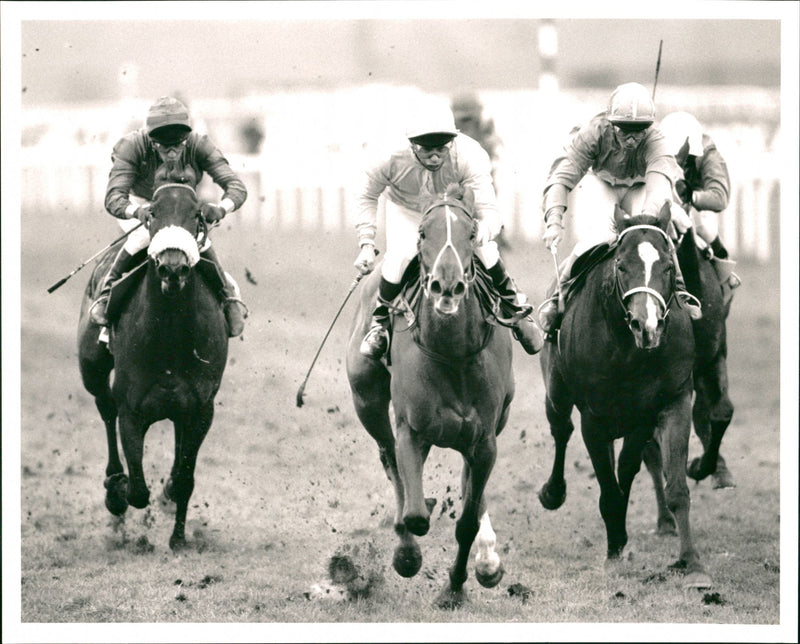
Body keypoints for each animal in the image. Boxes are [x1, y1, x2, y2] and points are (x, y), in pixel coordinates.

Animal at [77, 181, 228, 548]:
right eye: (154, 214)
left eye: (197, 214)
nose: (173, 268)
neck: (170, 334)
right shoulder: (132, 411)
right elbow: (137, 491)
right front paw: (117, 492)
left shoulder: (200, 410)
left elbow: (184, 480)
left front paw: (178, 538)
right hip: (92, 369)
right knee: (104, 407)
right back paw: (113, 482)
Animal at [346, 184, 516, 608]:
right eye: (423, 234)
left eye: (470, 235)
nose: (447, 285)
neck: (453, 354)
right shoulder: (412, 431)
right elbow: (414, 515)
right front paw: (408, 555)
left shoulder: (485, 439)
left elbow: (468, 518)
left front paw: (455, 586)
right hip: (367, 402)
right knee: (390, 461)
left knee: (471, 483)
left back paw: (487, 560)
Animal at [536, 201, 712, 588]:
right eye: (621, 265)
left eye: (667, 265)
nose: (647, 326)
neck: (628, 350)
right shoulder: (594, 418)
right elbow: (607, 485)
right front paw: (615, 551)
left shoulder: (663, 405)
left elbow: (664, 481)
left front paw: (692, 562)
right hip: (556, 390)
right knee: (560, 429)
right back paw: (553, 492)